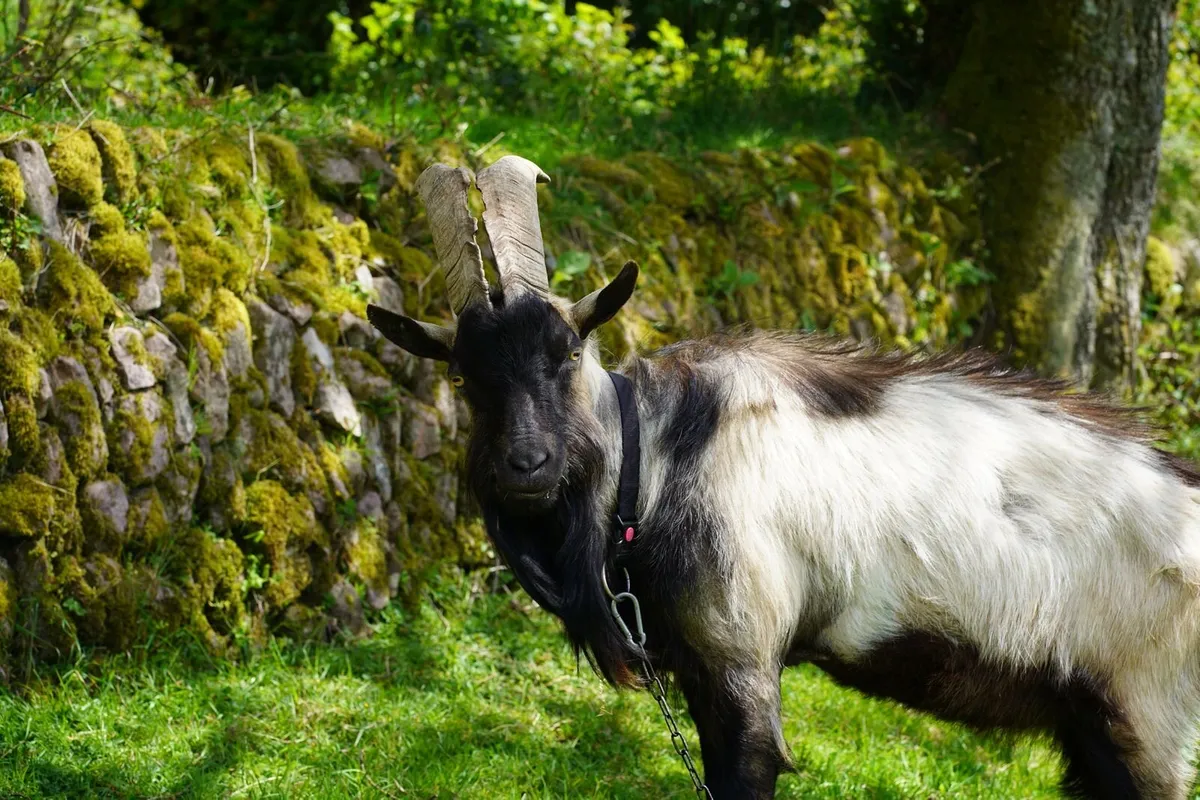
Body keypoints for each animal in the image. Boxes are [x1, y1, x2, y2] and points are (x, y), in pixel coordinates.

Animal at [367, 155, 1200, 799]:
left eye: (569, 352)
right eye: (464, 376)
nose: (527, 466)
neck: (657, 463)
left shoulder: (743, 659)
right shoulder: (699, 670)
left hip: (1145, 716)